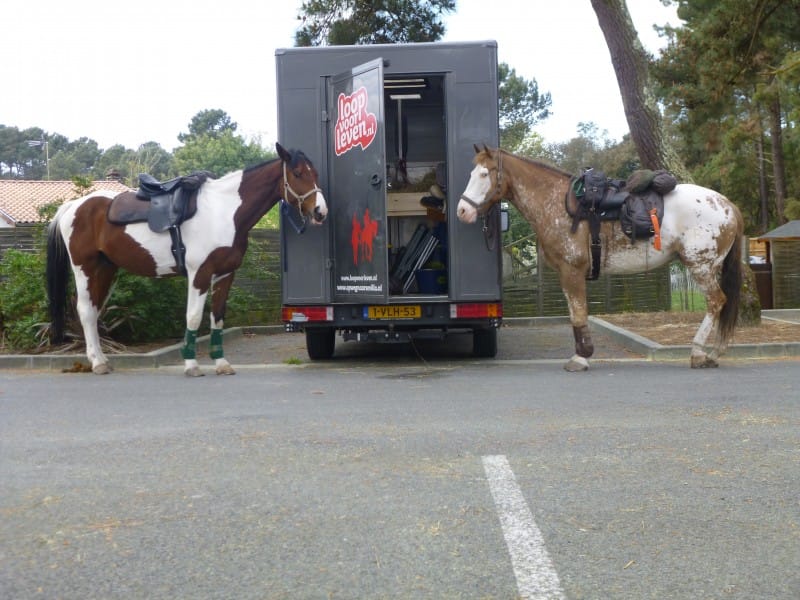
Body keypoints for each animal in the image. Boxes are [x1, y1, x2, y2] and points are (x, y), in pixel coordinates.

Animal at [46, 143, 328, 376]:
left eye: (315, 173)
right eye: (298, 174)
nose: (320, 211)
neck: (223, 212)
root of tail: (72, 206)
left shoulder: (225, 274)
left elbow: (218, 316)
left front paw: (221, 363)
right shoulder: (199, 274)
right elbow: (193, 317)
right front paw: (191, 365)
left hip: (106, 269)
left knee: (94, 311)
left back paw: (103, 361)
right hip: (85, 268)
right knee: (85, 311)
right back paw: (97, 363)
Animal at [456, 145, 744, 370]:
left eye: (484, 174)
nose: (462, 210)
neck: (557, 203)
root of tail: (729, 205)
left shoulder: (572, 270)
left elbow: (579, 312)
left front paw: (581, 358)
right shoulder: (566, 273)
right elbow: (575, 313)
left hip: (701, 266)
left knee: (716, 301)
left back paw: (700, 352)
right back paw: (714, 352)